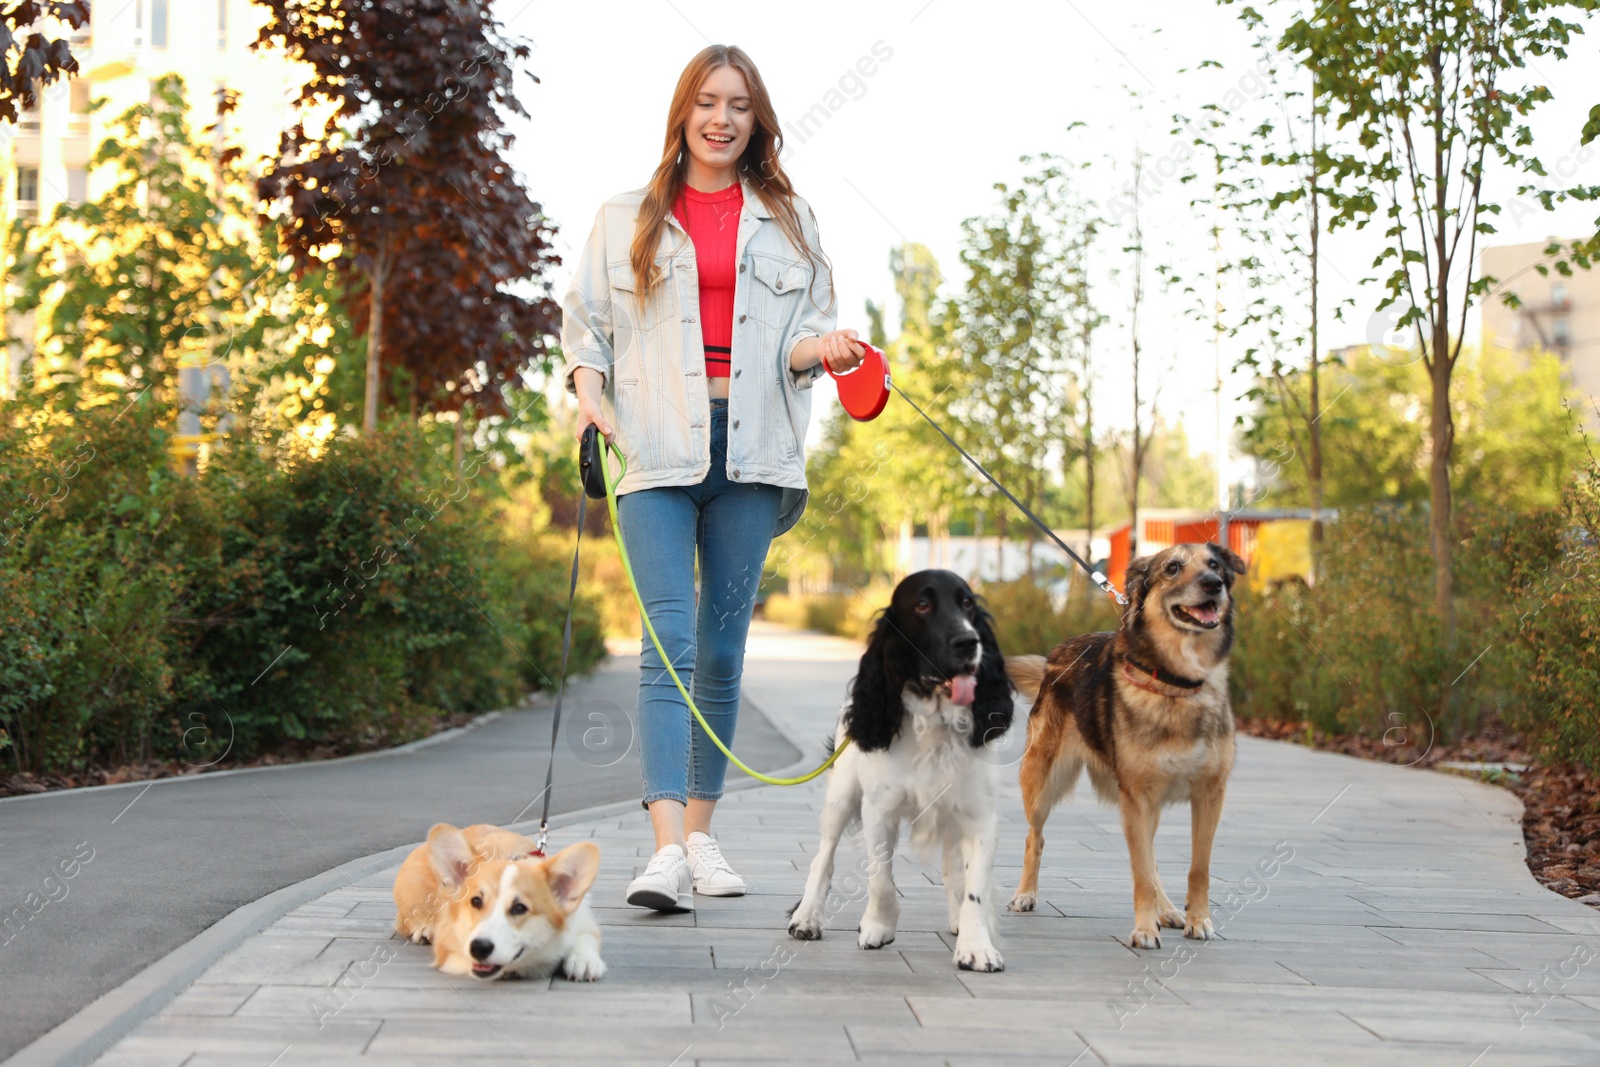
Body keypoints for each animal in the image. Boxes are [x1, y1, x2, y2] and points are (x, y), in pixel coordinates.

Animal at [393, 825, 604, 985]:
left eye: (519, 908)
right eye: (476, 901)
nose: (479, 948)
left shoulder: (583, 919)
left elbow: (585, 937)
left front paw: (584, 961)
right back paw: (424, 930)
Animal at [787, 572, 1011, 972]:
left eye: (967, 604)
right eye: (922, 605)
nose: (968, 642)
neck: (934, 724)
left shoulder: (979, 817)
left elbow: (975, 887)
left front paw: (976, 945)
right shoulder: (879, 810)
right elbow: (880, 879)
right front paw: (878, 927)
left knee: (953, 868)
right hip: (841, 797)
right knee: (823, 856)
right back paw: (806, 917)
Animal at [1004, 547, 1241, 947]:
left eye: (1214, 566)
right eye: (1172, 568)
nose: (1213, 584)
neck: (1177, 685)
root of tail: (1055, 656)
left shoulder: (1210, 796)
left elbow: (1199, 868)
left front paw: (1198, 920)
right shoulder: (1138, 799)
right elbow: (1141, 872)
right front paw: (1144, 931)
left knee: (1152, 858)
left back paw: (1168, 911)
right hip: (1041, 785)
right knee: (1034, 839)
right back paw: (1025, 894)